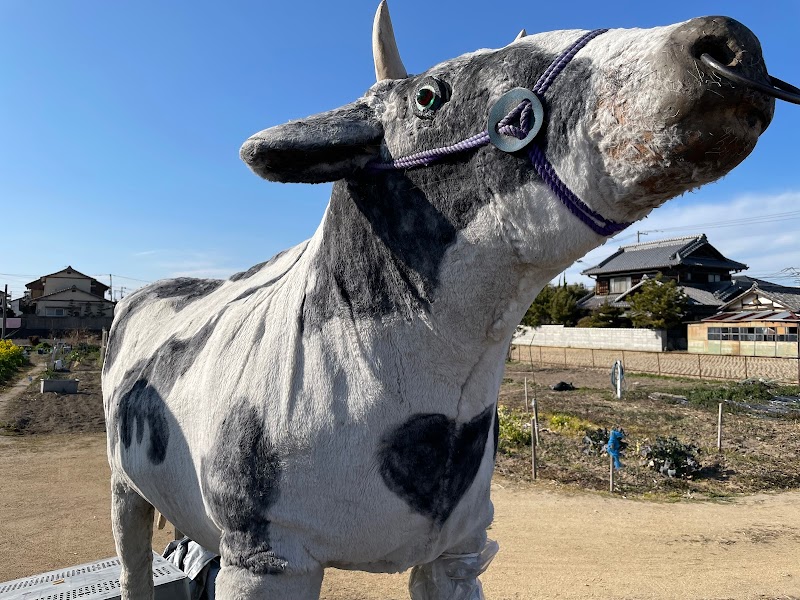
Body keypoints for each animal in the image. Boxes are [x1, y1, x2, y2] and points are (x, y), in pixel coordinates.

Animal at [103, 2, 772, 596]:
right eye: (430, 96)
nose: (728, 44)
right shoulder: (267, 557)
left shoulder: (460, 553)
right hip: (123, 483)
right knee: (133, 564)